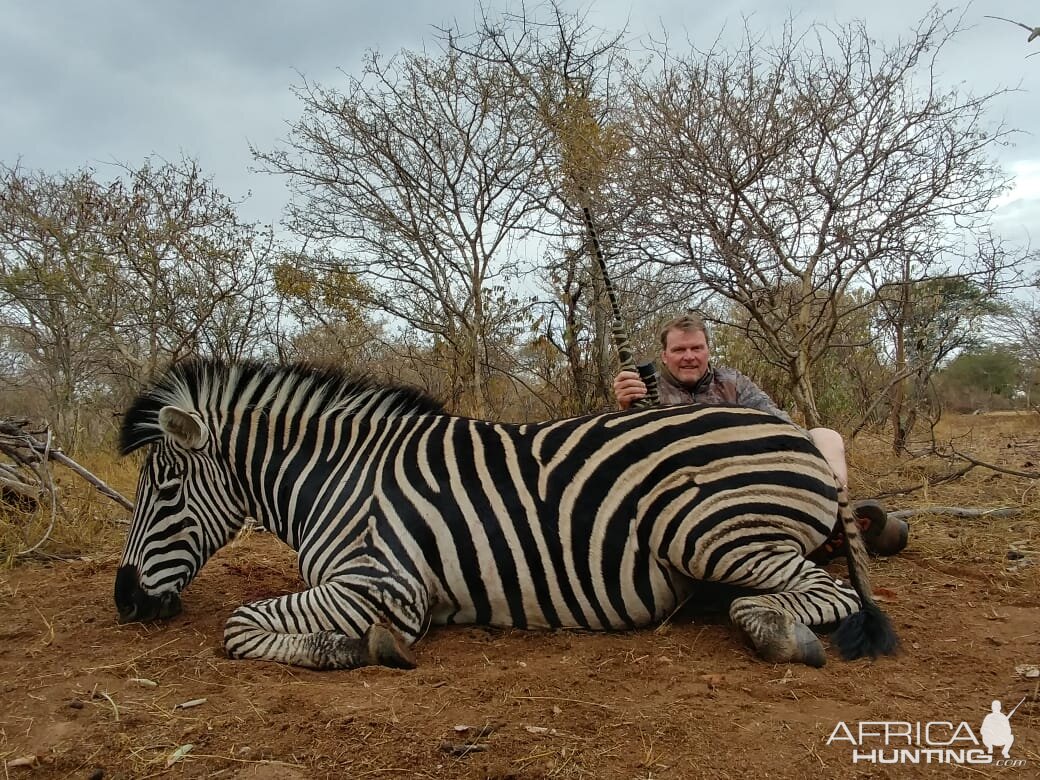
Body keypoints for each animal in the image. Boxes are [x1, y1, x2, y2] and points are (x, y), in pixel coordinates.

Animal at [111, 359, 894, 673]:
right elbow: (243, 621)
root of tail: (801, 435)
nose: (123, 602)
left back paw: (776, 632)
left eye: (165, 491)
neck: (338, 479)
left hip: (706, 531)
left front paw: (353, 648)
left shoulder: (383, 585)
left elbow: (238, 623)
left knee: (824, 594)